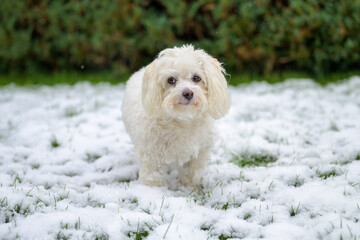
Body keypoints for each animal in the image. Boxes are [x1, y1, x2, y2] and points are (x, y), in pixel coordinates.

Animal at [121, 45, 231, 188]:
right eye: (171, 80)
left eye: (196, 78)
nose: (188, 93)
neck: (182, 120)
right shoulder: (151, 156)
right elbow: (153, 179)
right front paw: (153, 191)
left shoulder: (198, 154)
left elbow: (191, 175)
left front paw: (188, 188)